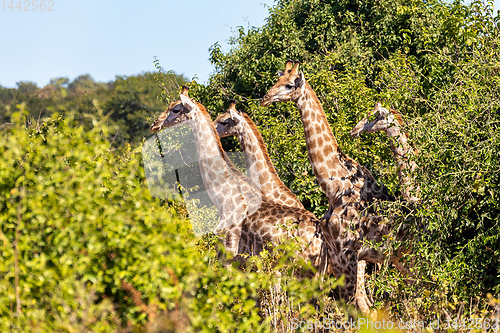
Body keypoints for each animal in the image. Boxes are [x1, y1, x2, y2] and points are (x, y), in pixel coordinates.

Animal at [148, 87, 352, 282]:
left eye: (175, 109)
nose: (154, 124)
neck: (224, 196)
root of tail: (322, 241)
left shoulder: (228, 254)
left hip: (303, 270)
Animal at [262, 61, 394, 312]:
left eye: (289, 84)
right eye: (276, 80)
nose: (265, 98)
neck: (335, 187)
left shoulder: (348, 251)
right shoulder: (335, 252)